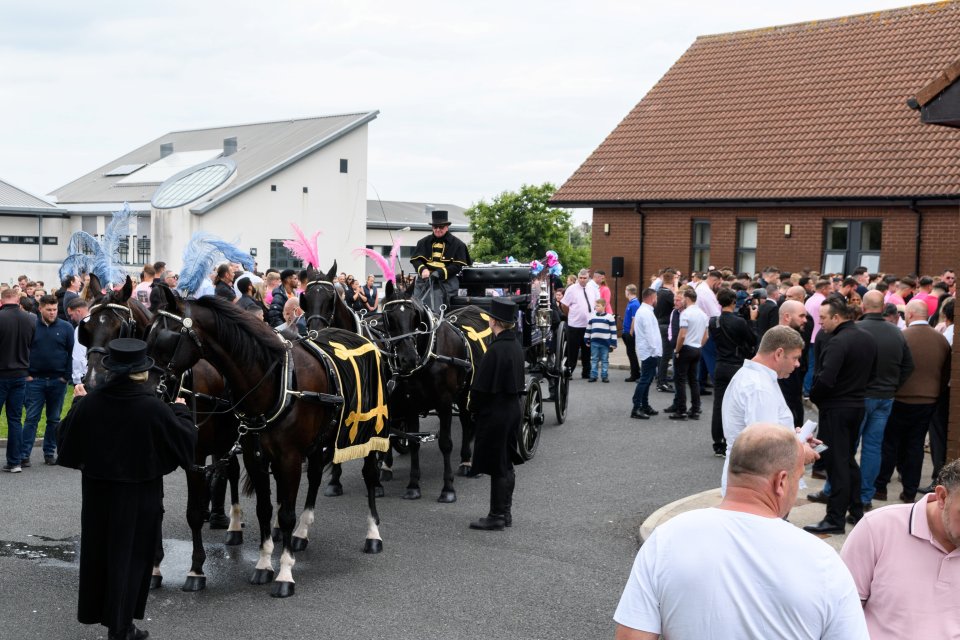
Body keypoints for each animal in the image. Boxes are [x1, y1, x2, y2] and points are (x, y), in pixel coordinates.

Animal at [79, 276, 246, 592]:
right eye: (86, 329)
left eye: (119, 329)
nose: (93, 382)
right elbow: (155, 510)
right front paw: (154, 568)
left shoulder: (194, 456)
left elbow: (193, 512)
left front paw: (196, 569)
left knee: (232, 471)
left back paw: (234, 526)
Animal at [146, 292, 386, 600]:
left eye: (166, 338)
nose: (147, 391)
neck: (274, 382)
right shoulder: (254, 456)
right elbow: (263, 509)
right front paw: (262, 563)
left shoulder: (288, 457)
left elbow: (284, 513)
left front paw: (284, 573)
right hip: (319, 438)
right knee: (313, 476)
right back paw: (298, 533)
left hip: (369, 433)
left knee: (369, 475)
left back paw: (372, 534)